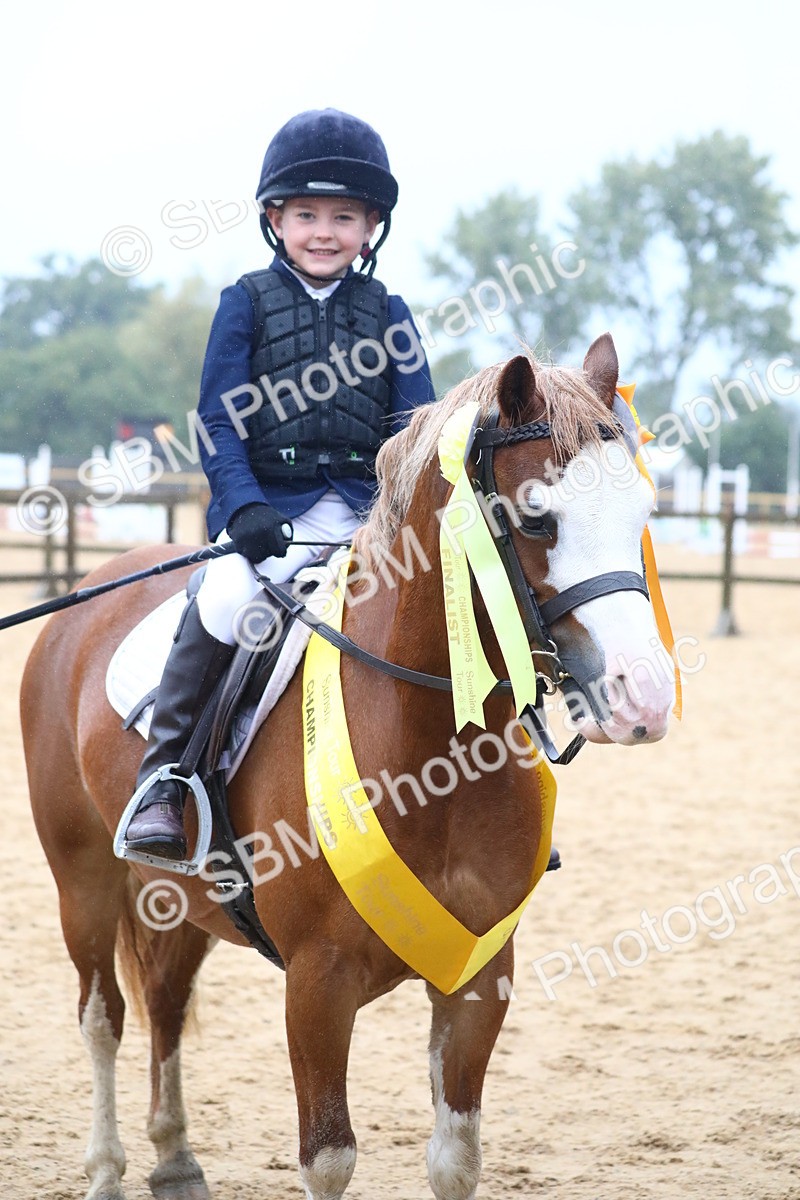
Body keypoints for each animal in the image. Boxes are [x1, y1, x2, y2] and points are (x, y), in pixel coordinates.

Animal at [20, 333, 675, 1200]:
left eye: (642, 515)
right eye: (536, 516)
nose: (647, 698)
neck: (431, 754)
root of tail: (90, 591)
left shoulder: (479, 978)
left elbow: (455, 1160)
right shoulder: (316, 986)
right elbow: (328, 1158)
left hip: (179, 897)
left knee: (164, 999)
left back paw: (176, 1160)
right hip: (85, 879)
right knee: (103, 1018)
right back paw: (106, 1169)